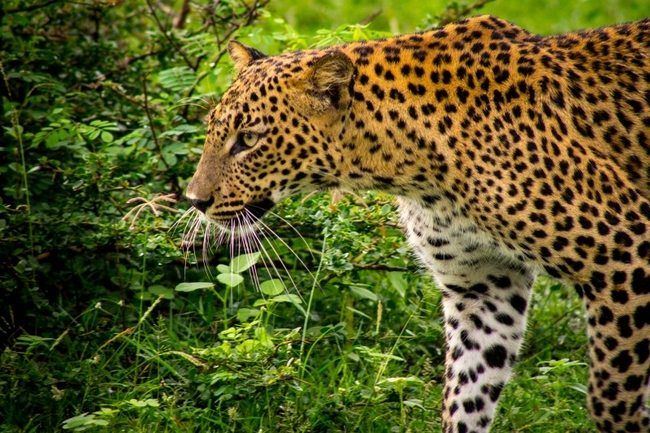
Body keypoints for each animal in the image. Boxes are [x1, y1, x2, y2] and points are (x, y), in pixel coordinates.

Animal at [185, 14, 644, 432]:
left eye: (249, 140)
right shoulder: (483, 286)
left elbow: (614, 396)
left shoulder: (622, 254)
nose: (194, 201)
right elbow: (468, 392)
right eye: (212, 131)